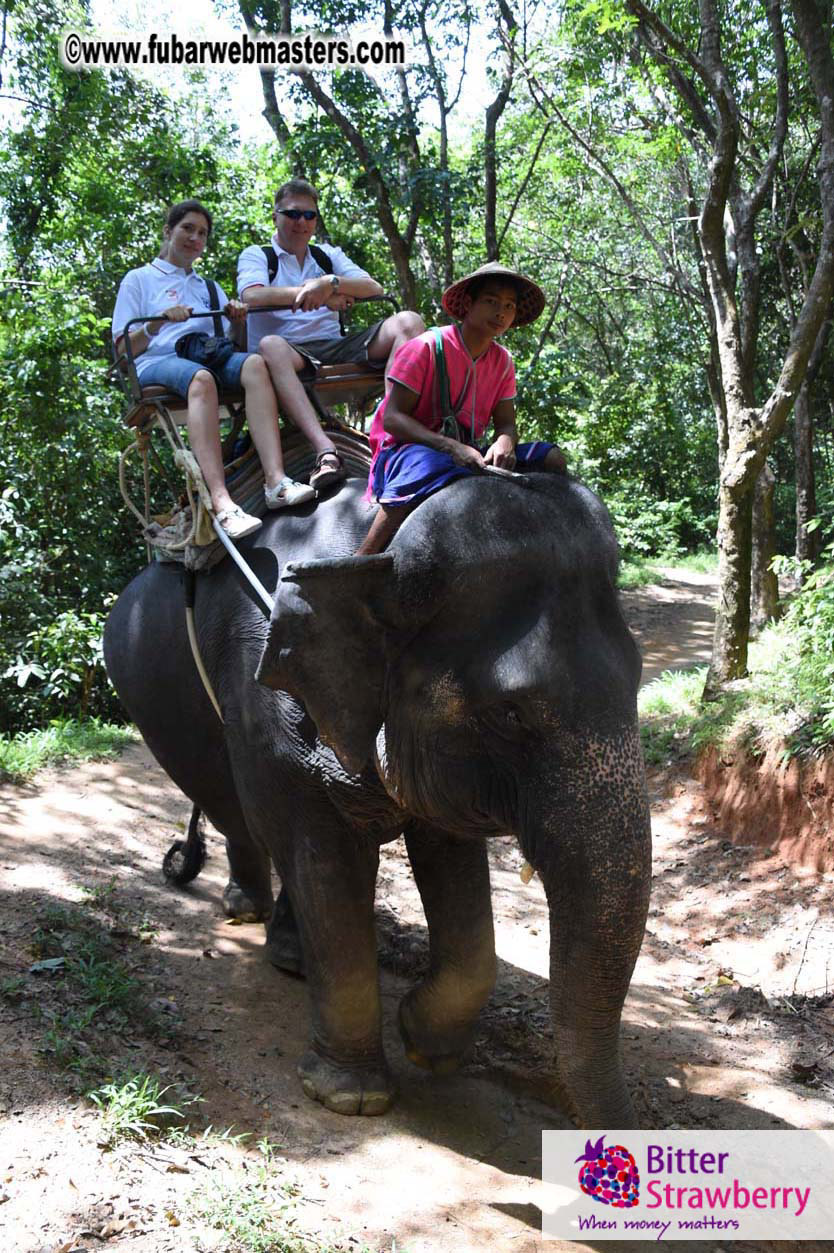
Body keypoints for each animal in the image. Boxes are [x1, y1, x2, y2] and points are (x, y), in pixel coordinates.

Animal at [103, 467, 651, 1127]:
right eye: (510, 714)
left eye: (638, 677)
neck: (378, 552)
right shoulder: (270, 698)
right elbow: (323, 856)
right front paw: (351, 1097)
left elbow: (451, 865)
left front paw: (425, 1044)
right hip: (156, 700)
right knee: (234, 807)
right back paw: (246, 910)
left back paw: (290, 953)